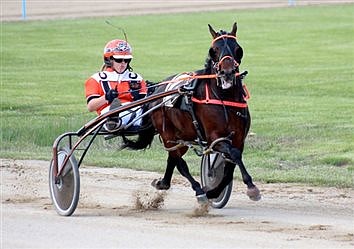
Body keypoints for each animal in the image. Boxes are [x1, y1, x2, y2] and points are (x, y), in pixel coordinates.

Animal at [124, 22, 260, 203]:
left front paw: (214, 192)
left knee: (173, 158)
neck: (224, 97)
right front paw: (251, 187)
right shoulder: (214, 137)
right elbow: (234, 155)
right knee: (179, 163)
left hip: (182, 136)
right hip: (167, 134)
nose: (227, 73)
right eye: (213, 50)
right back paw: (198, 189)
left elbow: (230, 168)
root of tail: (156, 90)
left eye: (238, 49)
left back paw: (164, 183)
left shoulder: (238, 138)